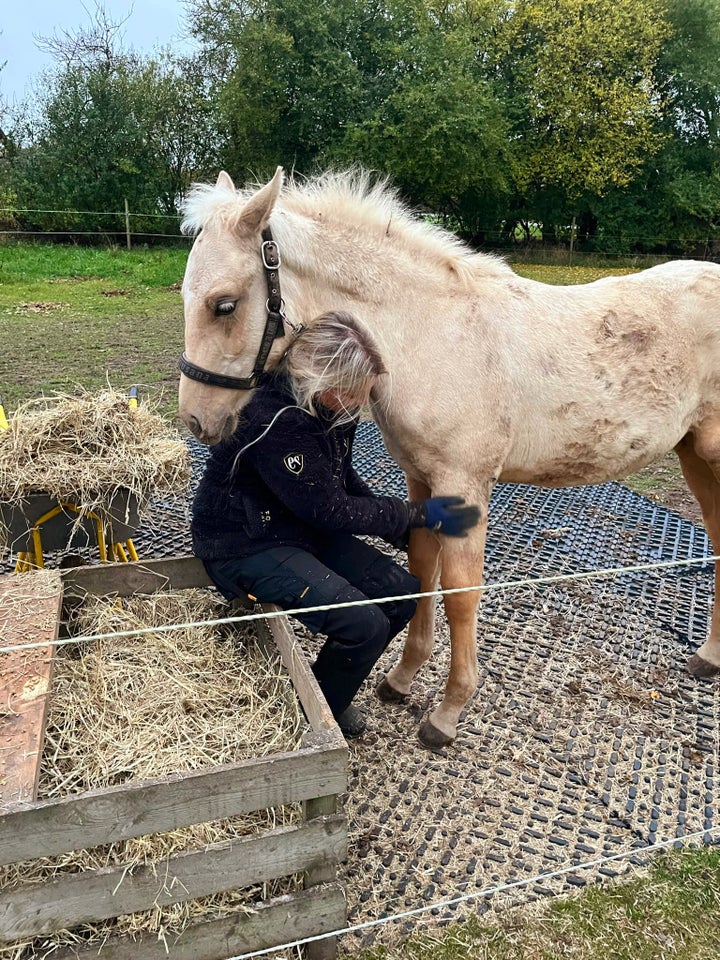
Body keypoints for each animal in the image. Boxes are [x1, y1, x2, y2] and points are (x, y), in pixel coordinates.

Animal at [177, 167, 720, 752]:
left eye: (224, 304)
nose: (197, 420)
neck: (432, 334)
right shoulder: (421, 482)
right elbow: (422, 570)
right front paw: (400, 680)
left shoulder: (465, 486)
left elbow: (460, 594)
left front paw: (447, 712)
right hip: (695, 456)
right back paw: (708, 657)